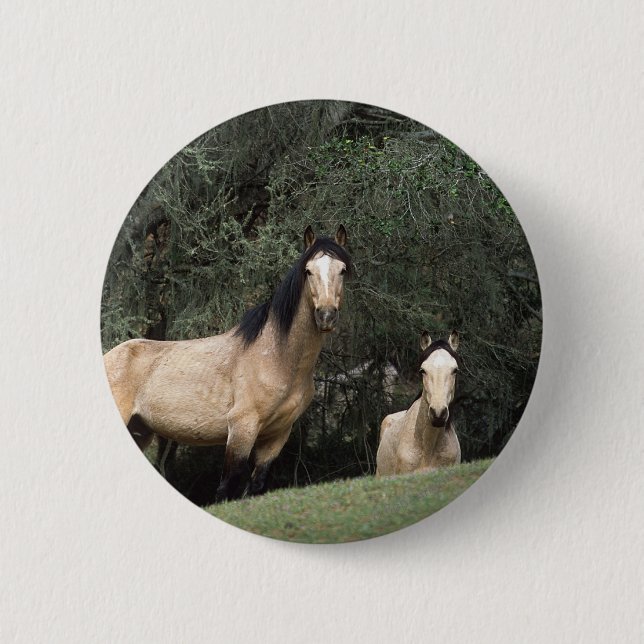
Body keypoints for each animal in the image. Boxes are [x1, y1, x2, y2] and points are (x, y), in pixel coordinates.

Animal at [103, 225, 352, 501]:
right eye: (308, 270)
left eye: (342, 269)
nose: (326, 315)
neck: (278, 357)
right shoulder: (242, 428)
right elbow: (226, 488)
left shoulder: (276, 436)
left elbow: (256, 486)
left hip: (139, 431)